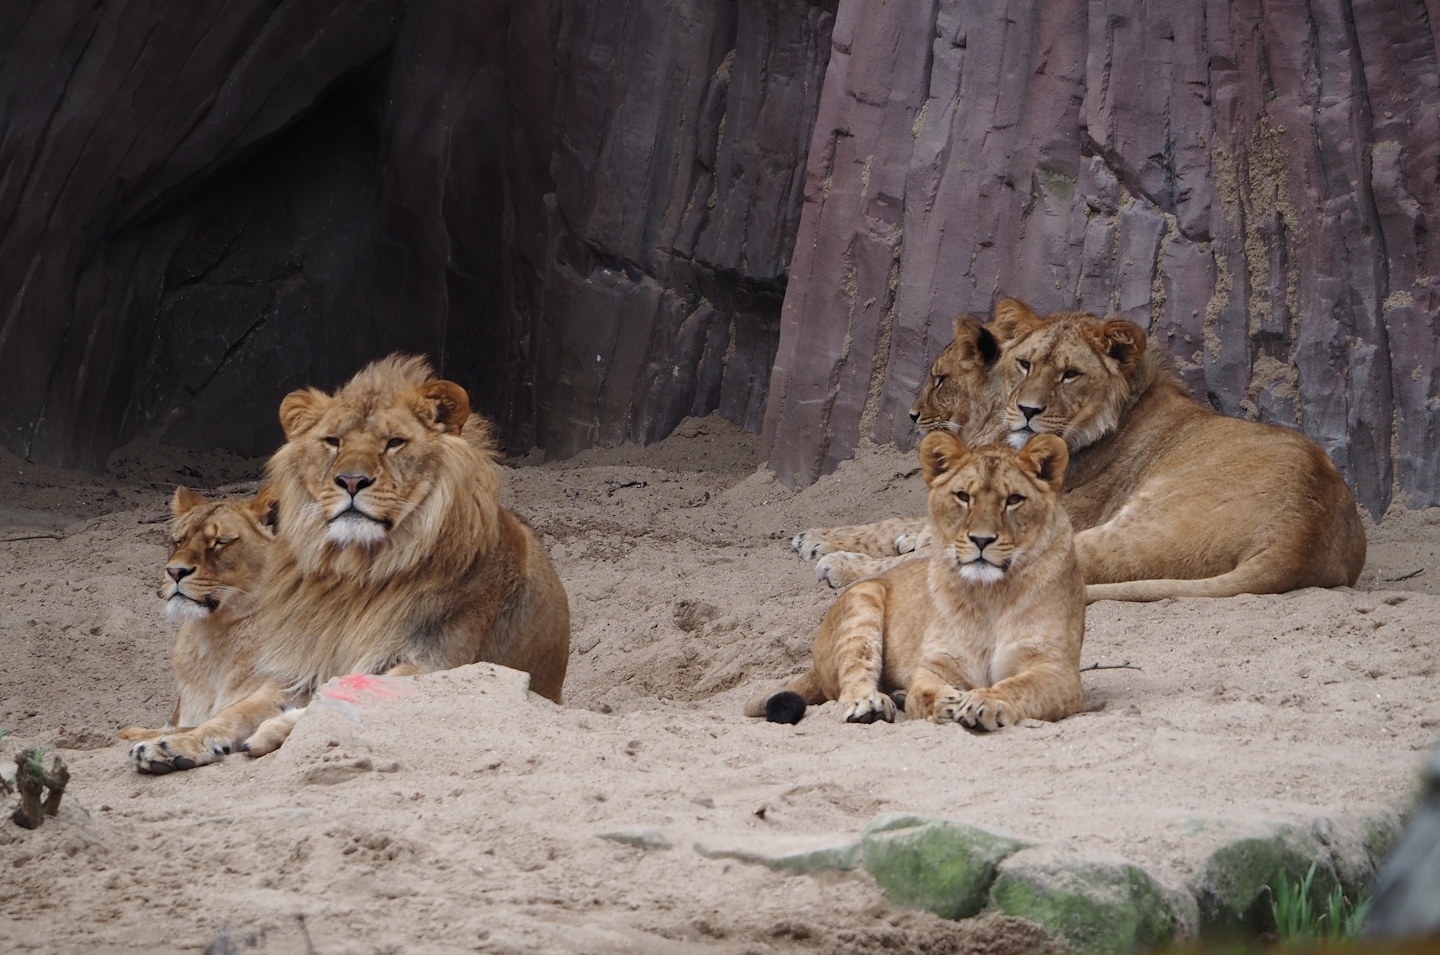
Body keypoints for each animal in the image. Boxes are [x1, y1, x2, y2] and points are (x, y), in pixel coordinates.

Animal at [120, 486, 282, 772]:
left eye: (220, 541)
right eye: (178, 540)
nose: (175, 571)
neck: (214, 634)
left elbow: (232, 715)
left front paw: (176, 746)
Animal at [750, 431, 1085, 729]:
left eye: (1014, 499)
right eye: (963, 496)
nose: (981, 539)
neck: (990, 593)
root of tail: (816, 667)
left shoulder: (1058, 671)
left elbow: (1017, 687)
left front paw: (984, 701)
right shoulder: (936, 665)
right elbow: (922, 693)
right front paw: (948, 702)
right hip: (863, 602)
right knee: (853, 679)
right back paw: (870, 704)